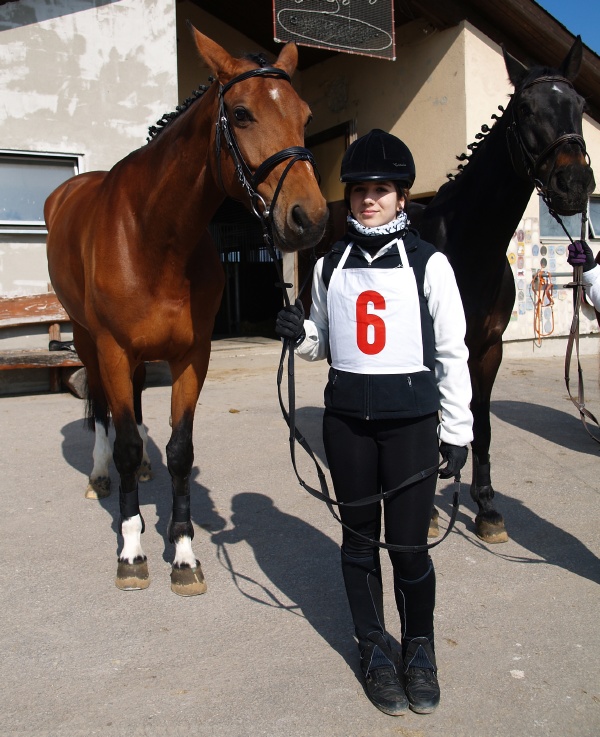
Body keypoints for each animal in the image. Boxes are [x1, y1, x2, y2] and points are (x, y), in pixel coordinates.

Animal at [45, 25, 328, 595]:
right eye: (240, 113)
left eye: (306, 115)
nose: (308, 218)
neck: (154, 236)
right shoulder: (112, 347)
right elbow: (127, 442)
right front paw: (131, 551)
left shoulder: (192, 356)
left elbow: (179, 451)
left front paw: (182, 554)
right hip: (87, 340)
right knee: (105, 413)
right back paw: (102, 475)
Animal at [410, 37, 595, 543]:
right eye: (526, 109)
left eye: (580, 105)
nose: (575, 185)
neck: (469, 250)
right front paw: (429, 511)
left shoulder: (488, 348)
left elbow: (482, 421)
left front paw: (487, 506)